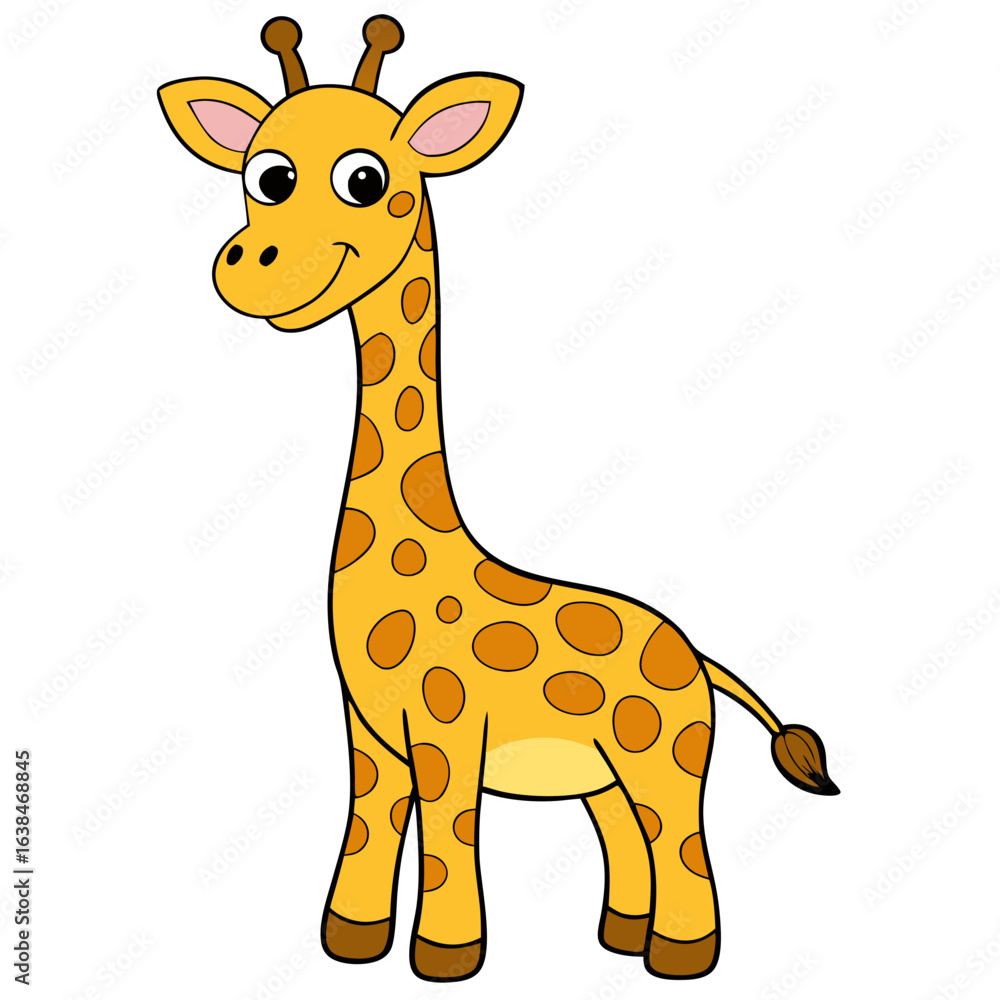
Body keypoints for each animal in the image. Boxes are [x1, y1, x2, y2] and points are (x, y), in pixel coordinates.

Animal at [159, 14, 840, 983]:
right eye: (266, 175)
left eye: (365, 179)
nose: (251, 266)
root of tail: (700, 657)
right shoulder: (368, 731)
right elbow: (368, 828)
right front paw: (350, 945)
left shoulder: (449, 728)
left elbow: (450, 837)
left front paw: (445, 958)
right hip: (601, 775)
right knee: (624, 838)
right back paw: (619, 939)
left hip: (666, 755)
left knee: (680, 838)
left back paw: (680, 957)